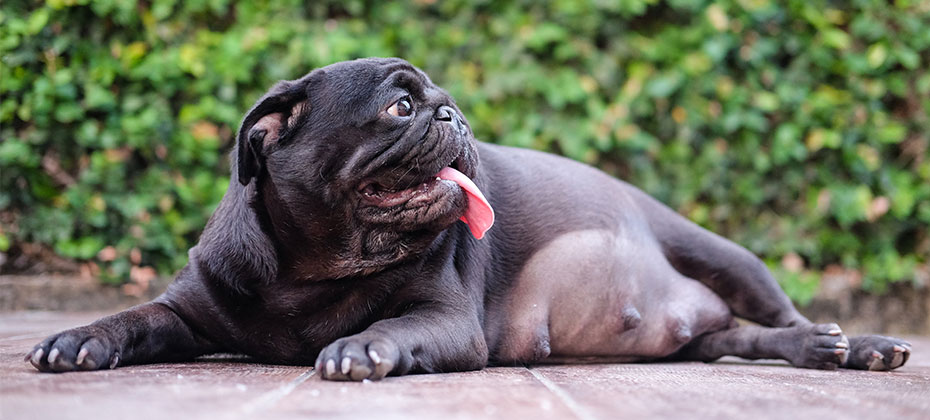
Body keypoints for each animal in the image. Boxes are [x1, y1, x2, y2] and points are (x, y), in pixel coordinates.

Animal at [27, 57, 908, 378]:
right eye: (400, 106)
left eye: (437, 101)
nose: (452, 113)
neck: (315, 266)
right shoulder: (188, 310)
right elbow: (136, 319)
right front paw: (79, 339)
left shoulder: (446, 322)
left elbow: (392, 327)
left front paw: (361, 349)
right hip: (705, 332)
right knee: (737, 341)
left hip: (726, 257)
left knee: (780, 320)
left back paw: (852, 346)